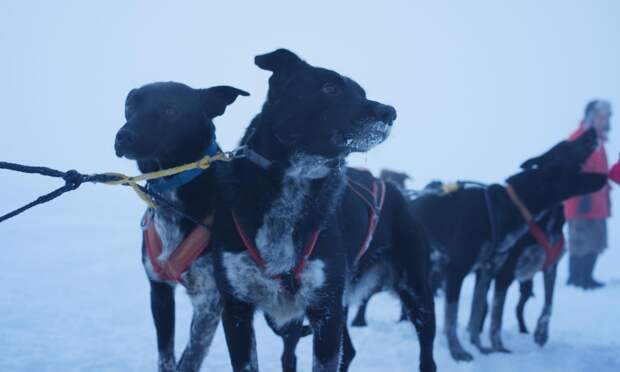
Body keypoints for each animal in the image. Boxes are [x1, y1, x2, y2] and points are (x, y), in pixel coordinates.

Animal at [112, 82, 248, 372]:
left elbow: (188, 360)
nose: (123, 136)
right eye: (130, 105)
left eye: (170, 109)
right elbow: (166, 356)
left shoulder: (209, 303)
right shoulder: (159, 291)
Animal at [212, 49, 436, 372]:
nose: (390, 112)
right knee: (349, 350)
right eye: (330, 88)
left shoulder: (325, 310)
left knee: (426, 352)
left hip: (417, 294)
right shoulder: (237, 310)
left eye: (361, 92)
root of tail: (397, 193)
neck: (293, 181)